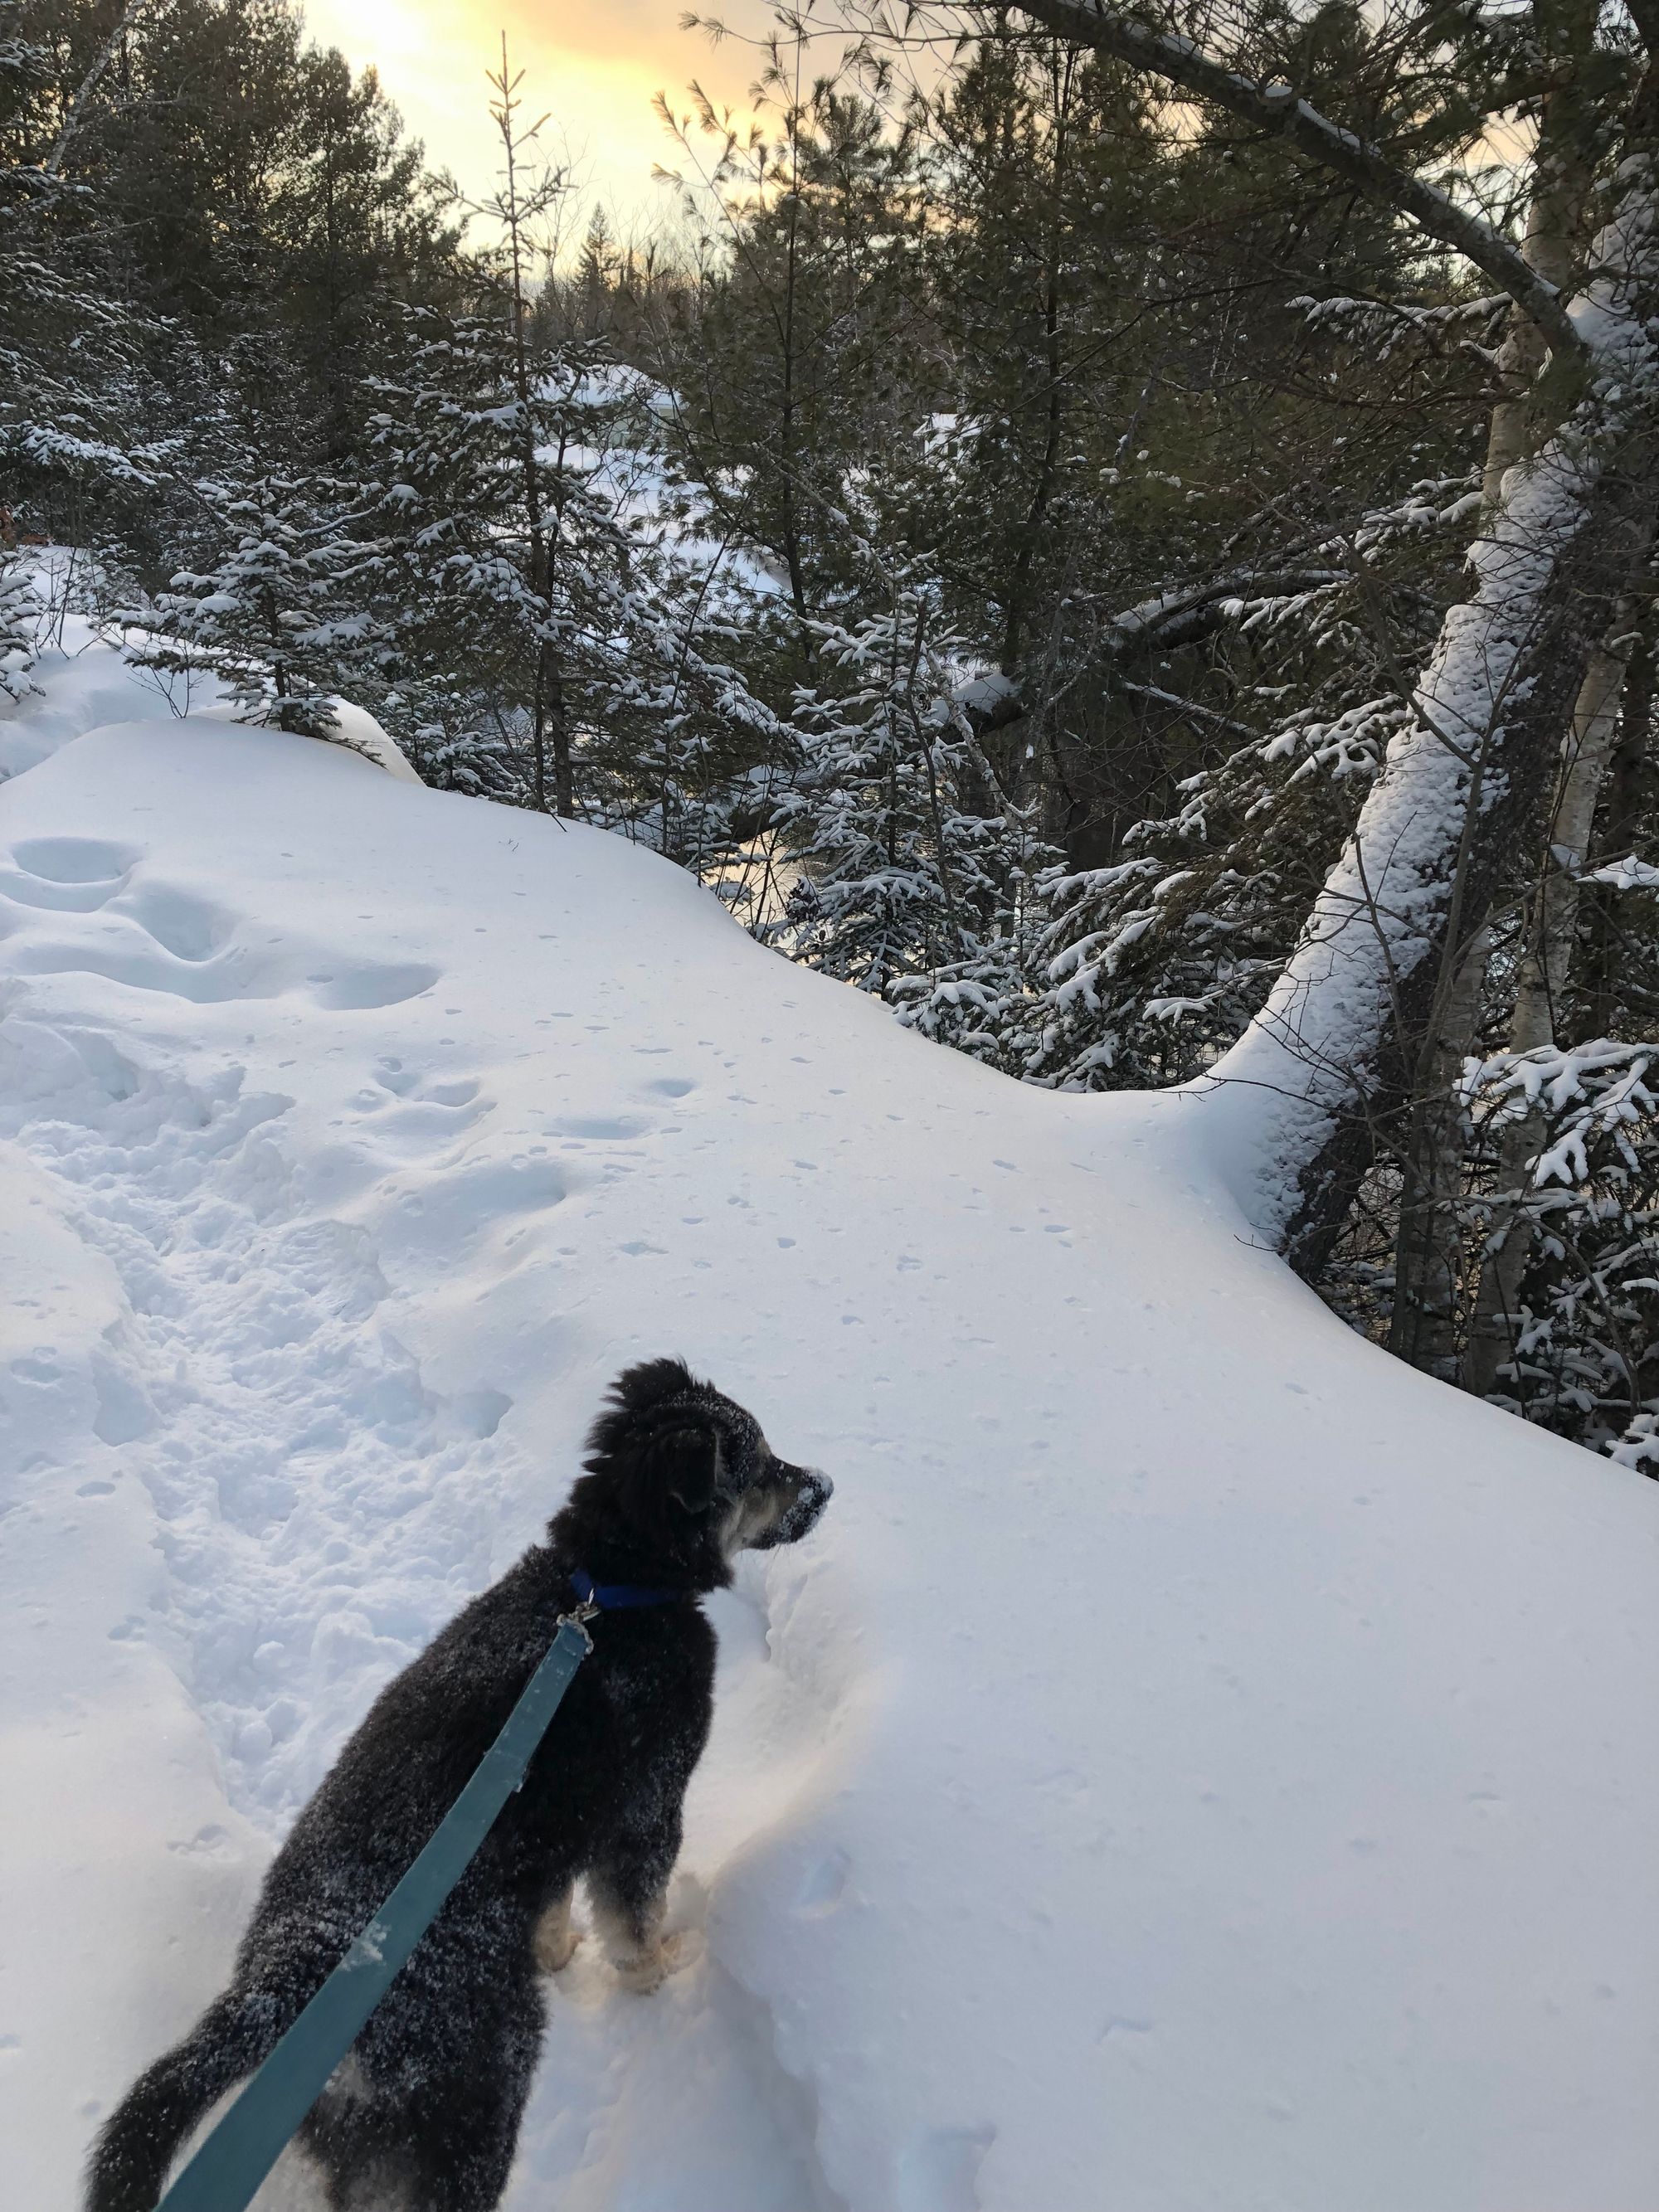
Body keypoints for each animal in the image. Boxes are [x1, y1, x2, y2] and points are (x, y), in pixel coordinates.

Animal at [88, 1354, 831, 2212]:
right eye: (760, 1465)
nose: (824, 1485)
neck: (607, 1590)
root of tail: (290, 1979)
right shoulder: (645, 1806)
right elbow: (634, 1917)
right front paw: (656, 1971)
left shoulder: (560, 1820)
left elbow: (554, 1901)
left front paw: (555, 1948)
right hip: (476, 2097)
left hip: (365, 2133)